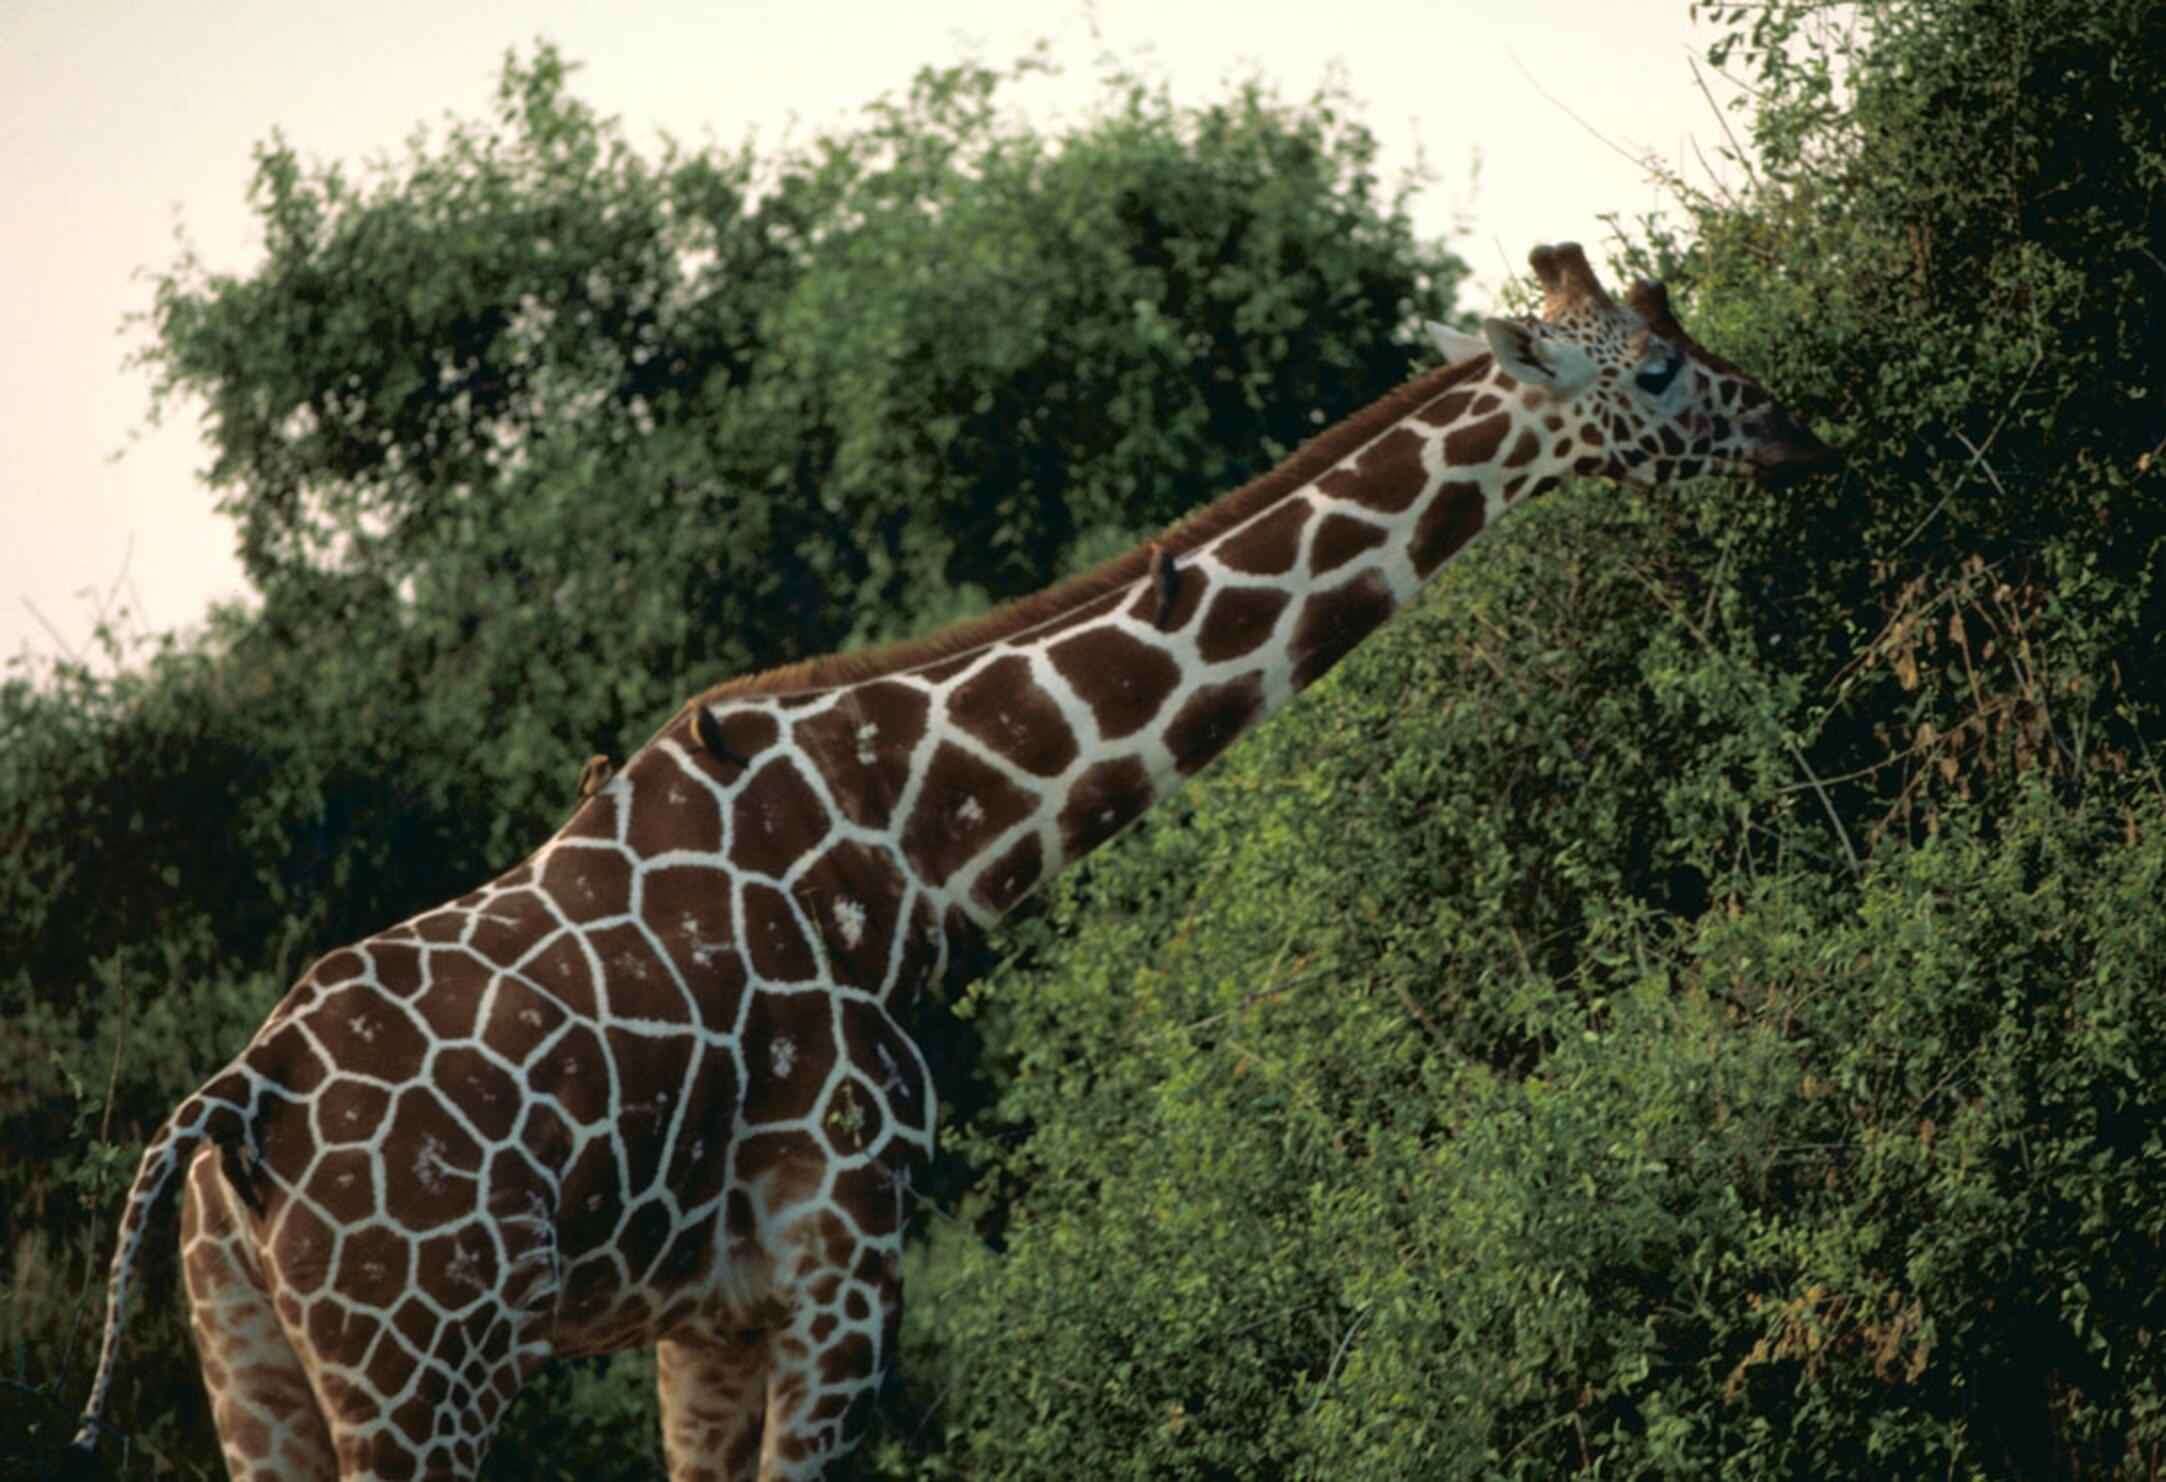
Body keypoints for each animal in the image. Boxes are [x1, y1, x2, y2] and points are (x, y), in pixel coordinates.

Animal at [67, 240, 1828, 1473]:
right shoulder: (848, 1253)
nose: (1789, 427)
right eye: (1655, 371)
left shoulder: (712, 1311)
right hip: (420, 1359)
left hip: (253, 1363)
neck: (907, 861)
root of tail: (226, 1111)